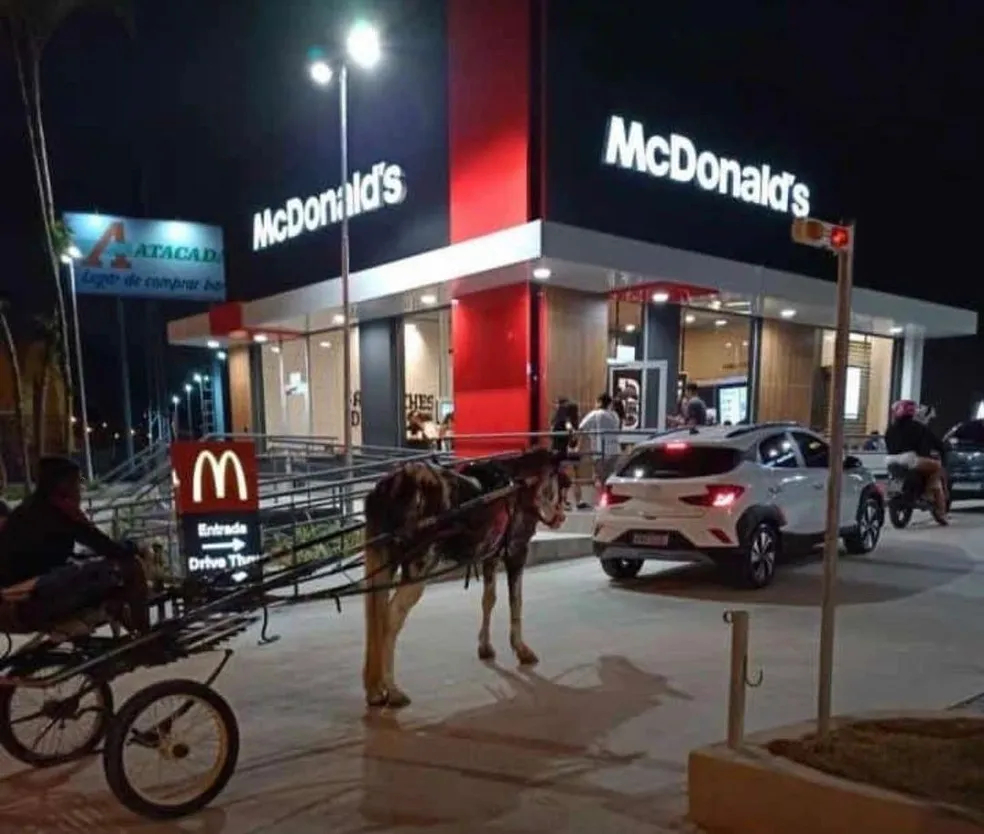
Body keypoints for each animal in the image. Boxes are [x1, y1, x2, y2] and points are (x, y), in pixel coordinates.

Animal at [362, 446, 564, 704]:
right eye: (558, 480)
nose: (560, 517)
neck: (521, 484)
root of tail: (394, 485)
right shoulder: (517, 550)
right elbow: (516, 601)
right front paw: (521, 649)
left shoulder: (490, 555)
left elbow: (489, 599)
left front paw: (485, 647)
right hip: (419, 566)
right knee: (391, 616)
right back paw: (392, 689)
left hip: (382, 560)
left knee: (375, 614)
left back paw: (375, 689)